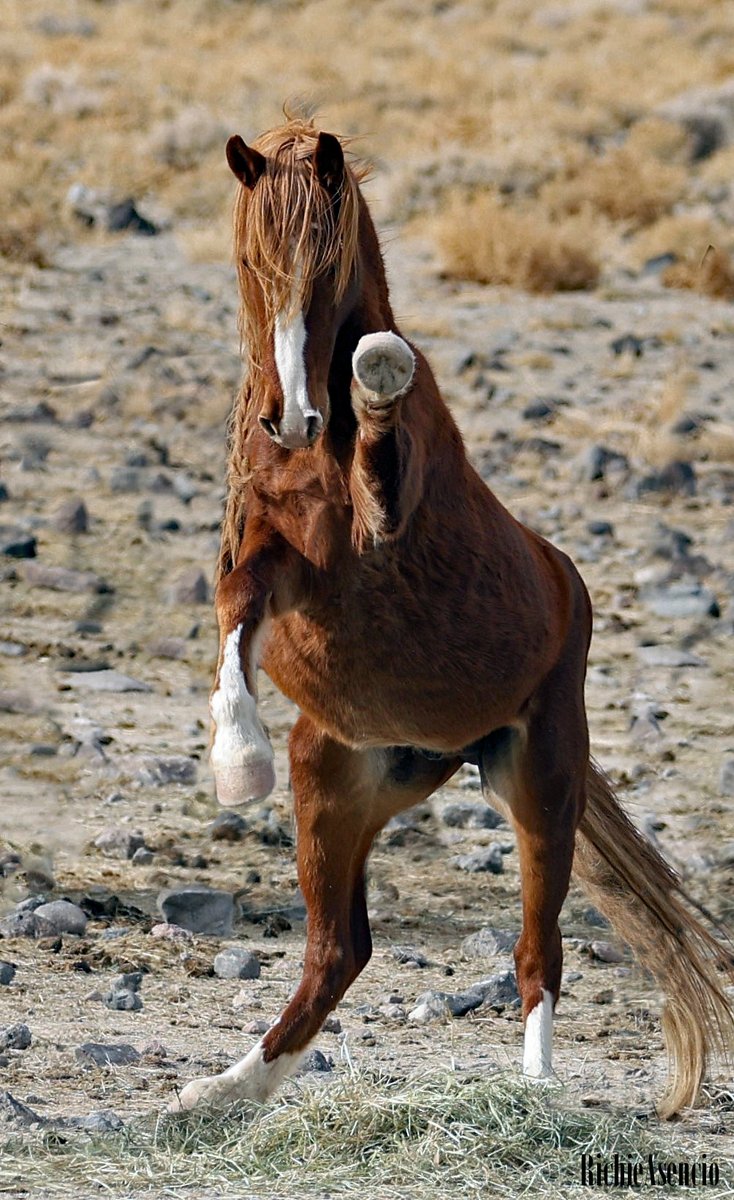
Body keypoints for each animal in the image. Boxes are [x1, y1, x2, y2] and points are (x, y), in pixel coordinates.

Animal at [173, 117, 733, 1118]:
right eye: (248, 258)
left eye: (329, 260)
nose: (293, 420)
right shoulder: (273, 564)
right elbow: (235, 609)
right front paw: (237, 764)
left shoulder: (376, 538)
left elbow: (381, 436)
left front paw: (377, 374)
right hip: (338, 781)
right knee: (339, 952)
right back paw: (217, 1092)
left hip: (540, 780)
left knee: (538, 953)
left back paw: (538, 1093)